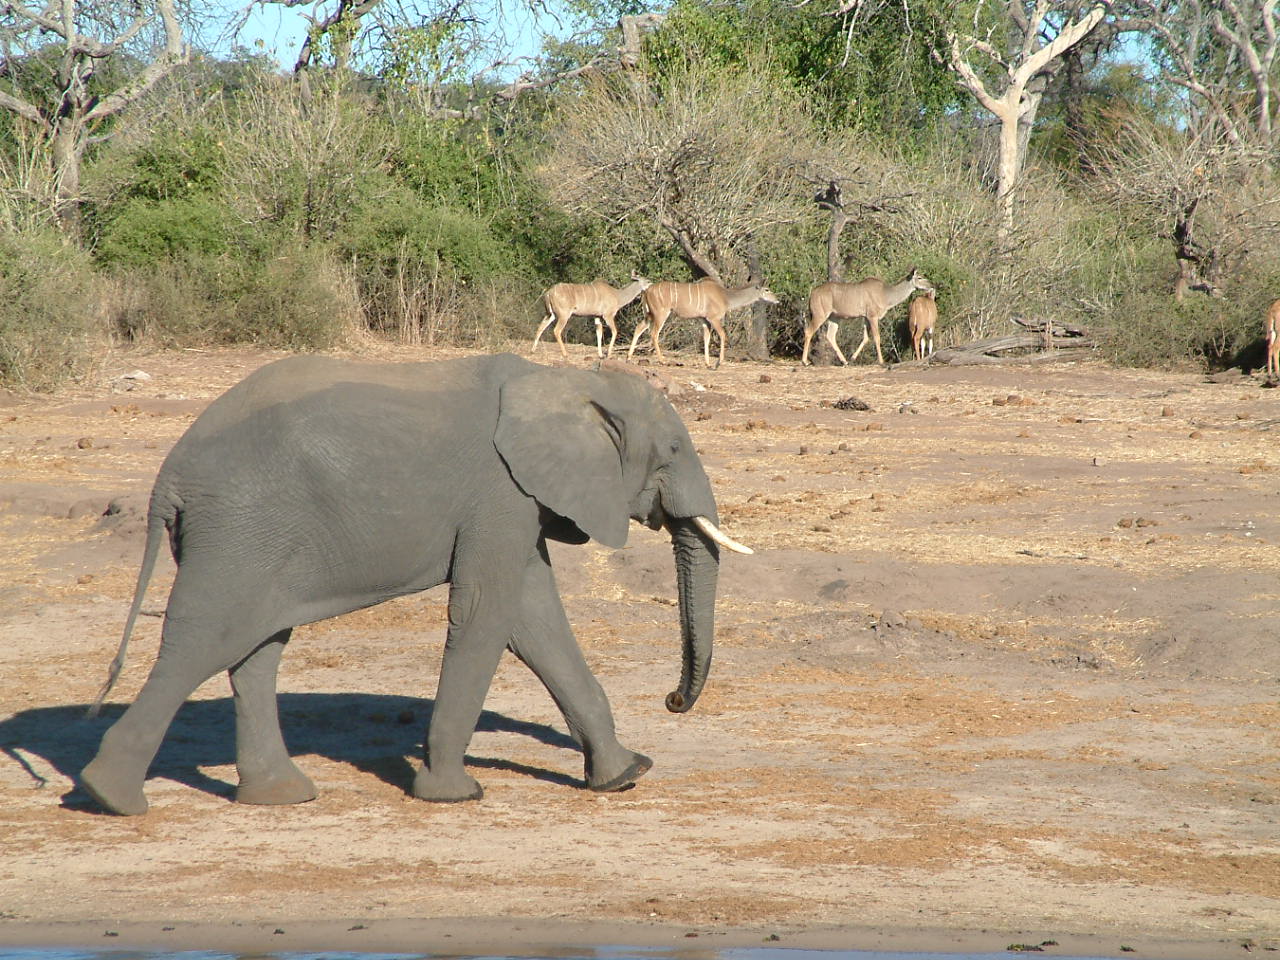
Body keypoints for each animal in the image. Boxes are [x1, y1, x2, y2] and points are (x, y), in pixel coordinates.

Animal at [80, 353, 747, 819]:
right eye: (674, 447)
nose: (672, 700)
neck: (568, 381)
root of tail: (167, 479)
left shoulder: (520, 501)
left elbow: (535, 620)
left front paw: (625, 776)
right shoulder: (500, 492)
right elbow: (486, 613)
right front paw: (456, 795)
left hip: (253, 537)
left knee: (256, 648)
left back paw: (282, 797)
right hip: (241, 527)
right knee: (206, 639)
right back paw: (110, 796)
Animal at [622, 280, 773, 371]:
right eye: (766, 289)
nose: (776, 299)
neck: (725, 296)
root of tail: (646, 291)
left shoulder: (704, 320)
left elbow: (706, 339)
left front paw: (708, 364)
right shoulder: (713, 318)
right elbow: (723, 335)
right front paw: (718, 363)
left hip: (649, 314)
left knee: (639, 328)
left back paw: (628, 358)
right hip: (661, 313)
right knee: (654, 334)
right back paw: (663, 360)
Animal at [803, 268, 936, 366]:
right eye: (919, 277)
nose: (932, 284)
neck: (885, 294)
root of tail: (812, 294)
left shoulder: (866, 318)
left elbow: (866, 338)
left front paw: (852, 358)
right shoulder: (873, 316)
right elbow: (877, 337)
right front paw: (881, 361)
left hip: (834, 318)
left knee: (830, 335)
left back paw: (845, 361)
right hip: (820, 315)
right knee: (808, 331)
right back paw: (805, 361)